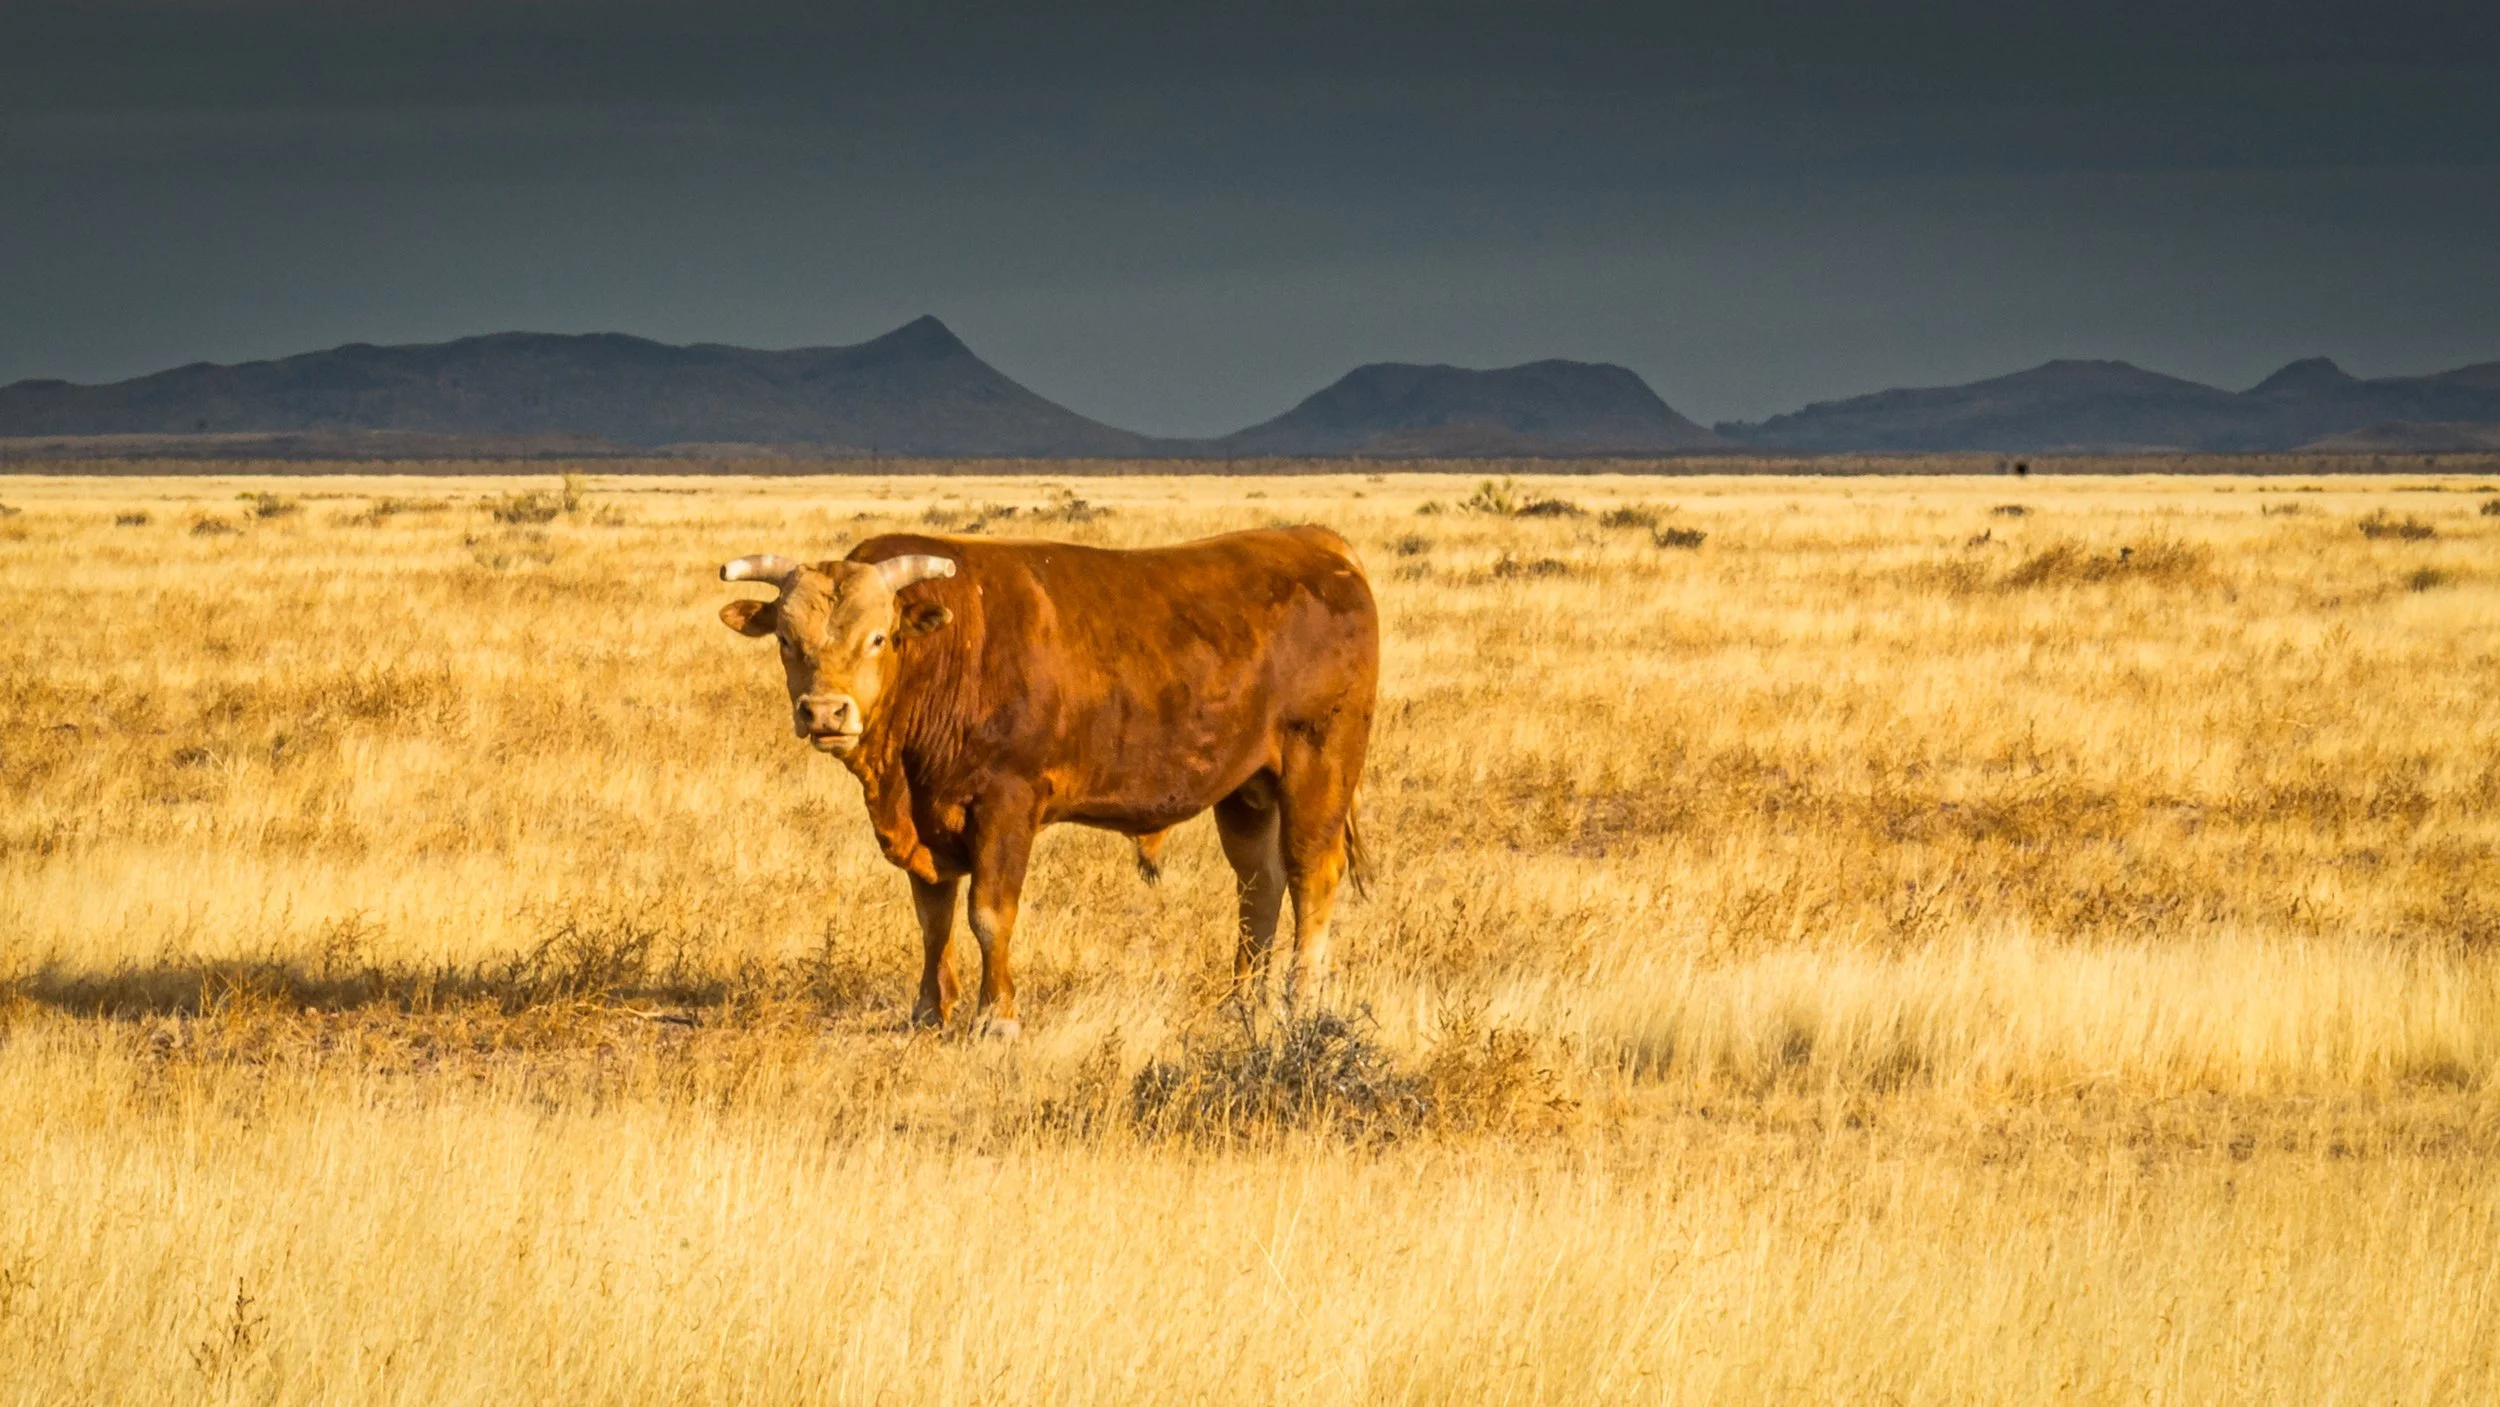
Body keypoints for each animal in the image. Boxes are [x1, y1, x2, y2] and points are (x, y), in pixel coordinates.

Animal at [717, 525, 1379, 1038]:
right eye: (786, 640)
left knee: (1310, 877)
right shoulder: (924, 821)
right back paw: (1240, 1003)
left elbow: (989, 914)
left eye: (877, 637)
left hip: (1318, 765)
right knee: (1258, 888)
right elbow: (933, 918)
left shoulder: (1006, 804)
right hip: (1247, 790)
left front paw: (997, 1018)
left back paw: (1300, 1001)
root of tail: (1318, 542)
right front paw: (929, 1010)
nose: (825, 712)